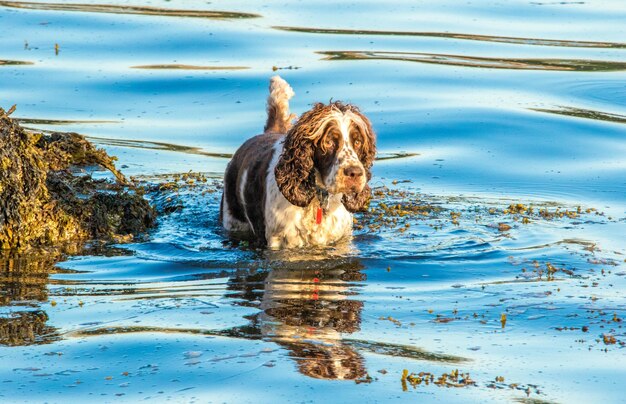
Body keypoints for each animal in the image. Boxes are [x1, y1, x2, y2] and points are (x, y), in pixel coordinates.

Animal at [221, 74, 376, 248]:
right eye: (328, 142)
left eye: (358, 142)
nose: (355, 173)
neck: (317, 198)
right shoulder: (279, 242)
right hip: (232, 219)